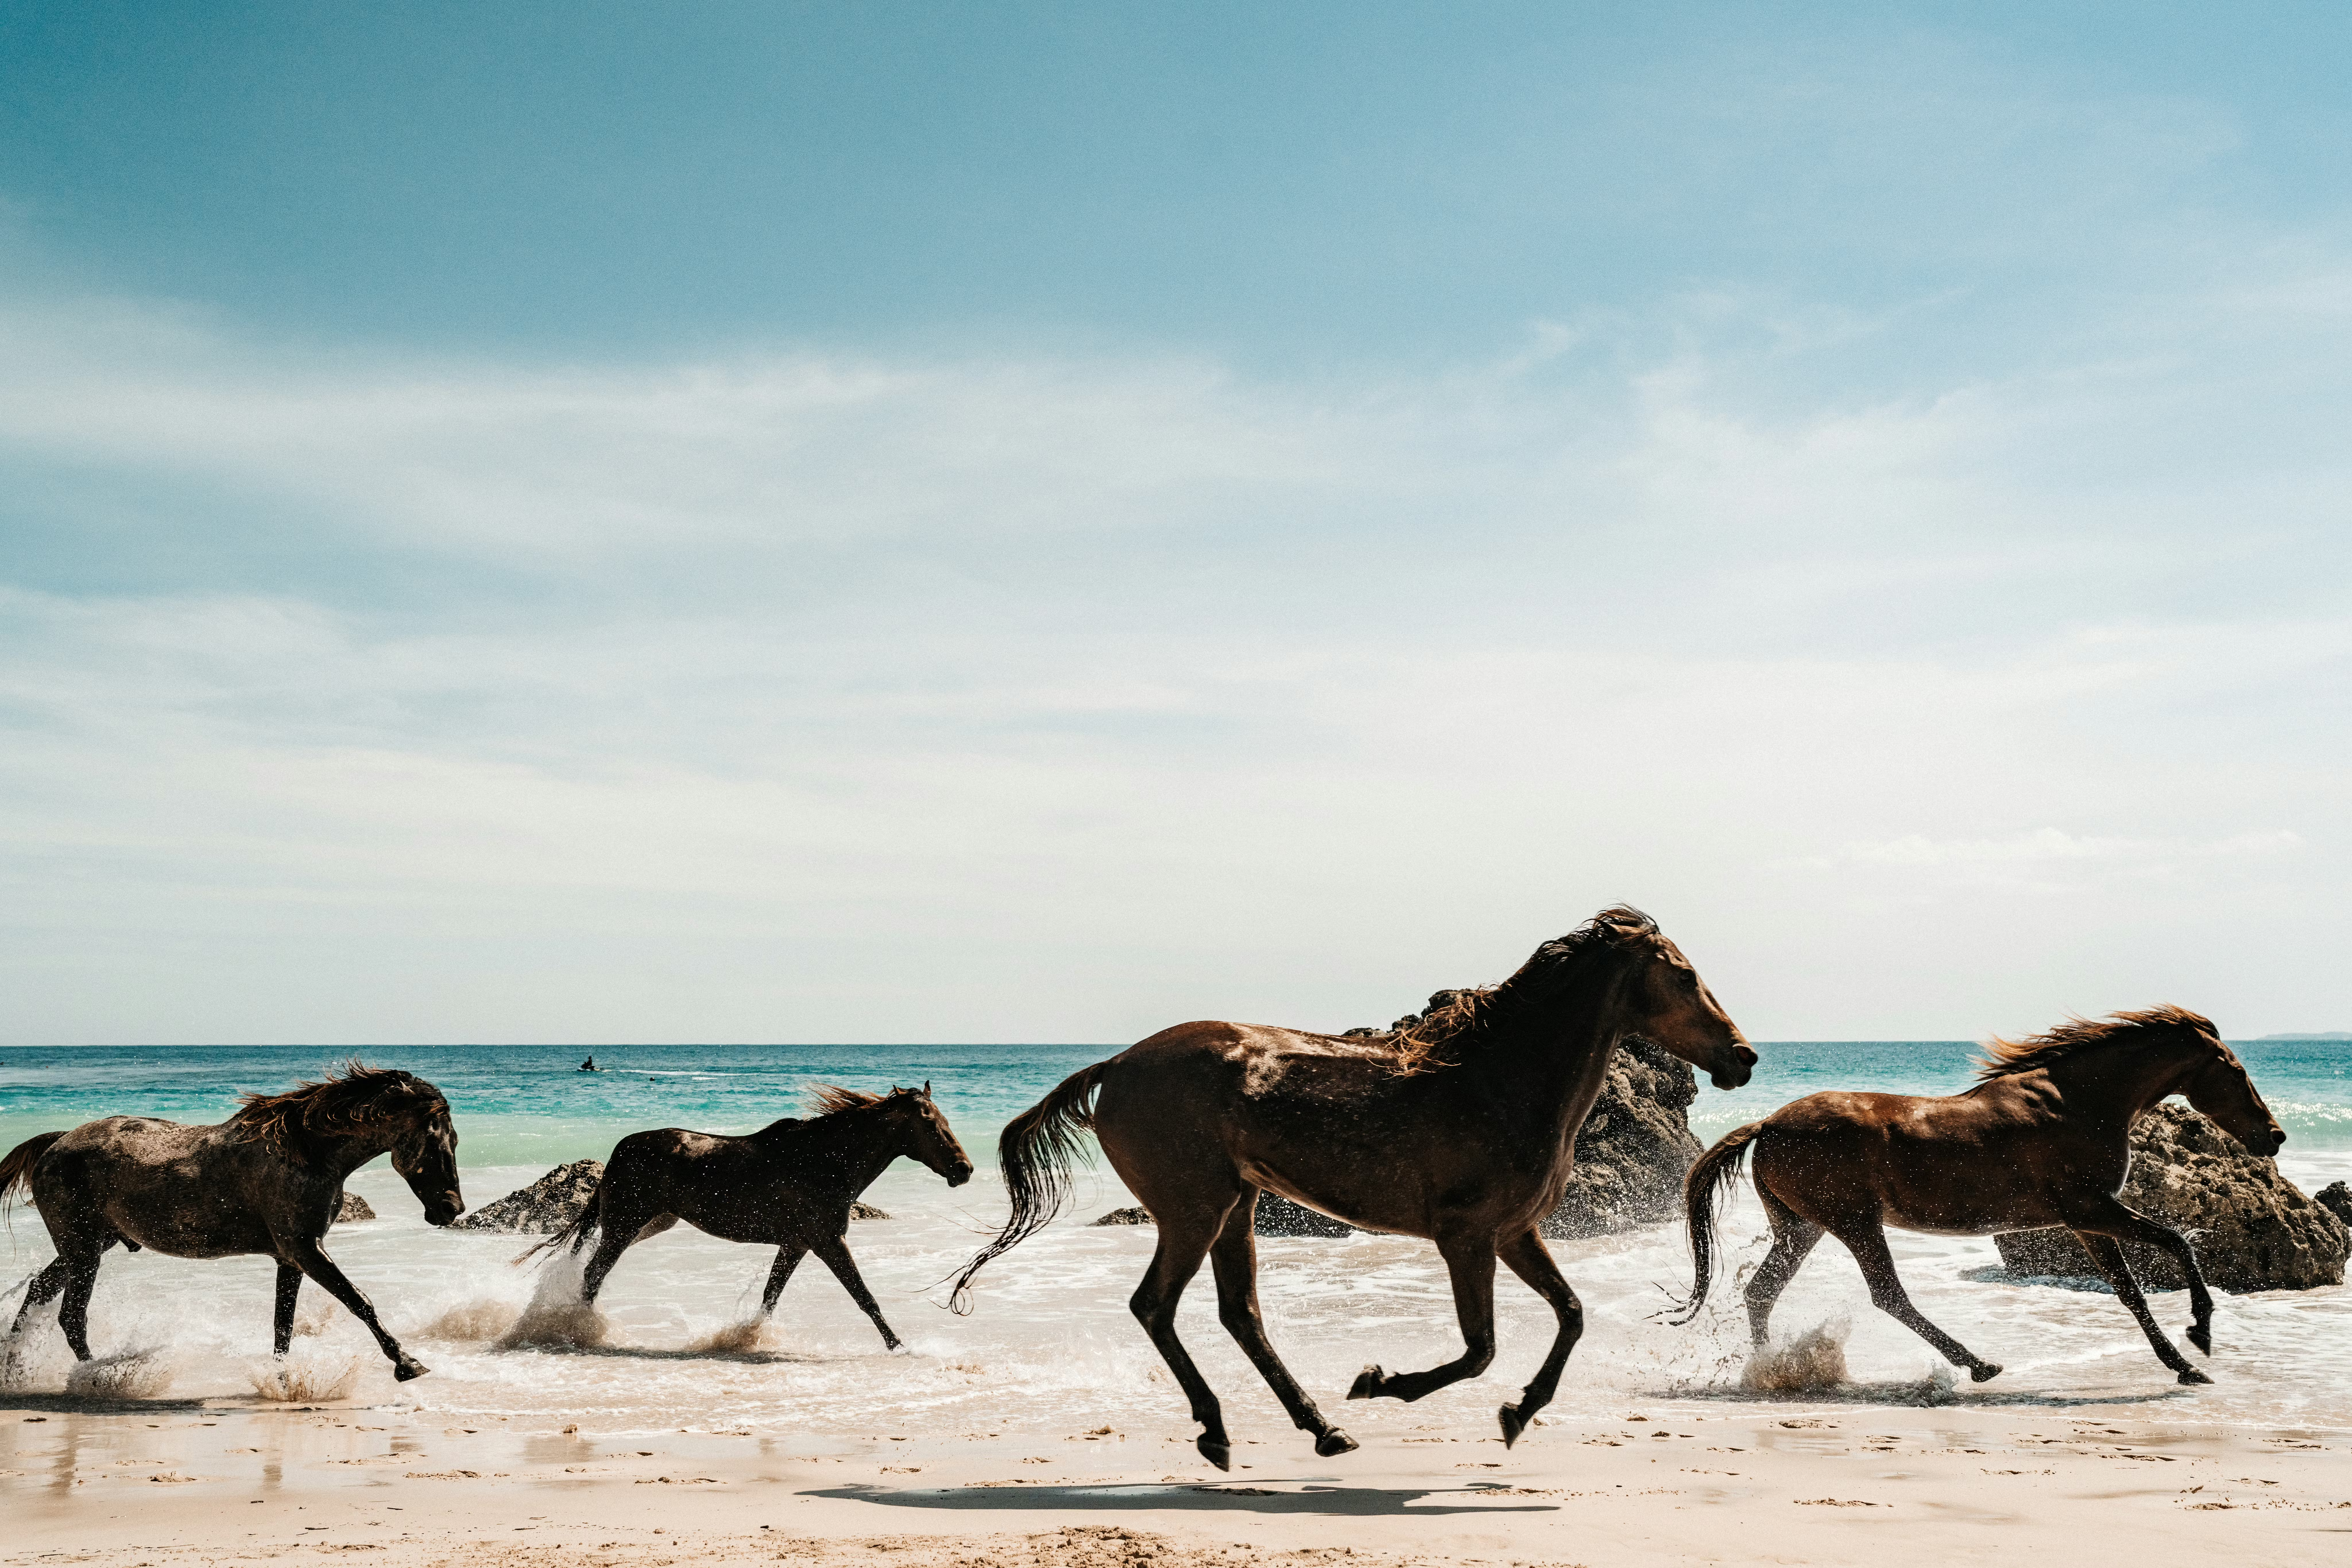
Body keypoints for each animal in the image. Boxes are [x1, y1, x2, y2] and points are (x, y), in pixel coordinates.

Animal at [0, 1062, 463, 1381]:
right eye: (438, 1138)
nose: (452, 1208)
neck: (307, 1153)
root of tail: (56, 1143)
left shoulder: (291, 1258)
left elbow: (283, 1327)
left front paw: (282, 1382)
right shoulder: (306, 1249)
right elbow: (359, 1300)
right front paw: (408, 1363)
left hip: (92, 1245)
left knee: (40, 1292)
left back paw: (15, 1370)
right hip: (83, 1251)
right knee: (71, 1317)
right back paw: (97, 1375)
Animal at [527, 1083, 973, 1350]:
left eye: (947, 1121)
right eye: (930, 1125)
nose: (964, 1170)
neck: (825, 1159)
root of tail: (620, 1150)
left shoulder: (796, 1244)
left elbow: (770, 1297)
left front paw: (748, 1339)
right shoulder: (828, 1241)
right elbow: (865, 1297)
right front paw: (901, 1347)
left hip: (649, 1224)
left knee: (593, 1271)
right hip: (625, 1226)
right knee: (593, 1274)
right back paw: (583, 1331)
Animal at [948, 906, 1755, 1469]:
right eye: (1684, 976)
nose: (1743, 1057)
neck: (1502, 1080)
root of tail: (1114, 1065)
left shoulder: (1516, 1234)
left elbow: (1572, 1315)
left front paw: (1518, 1414)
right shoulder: (1466, 1238)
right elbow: (1481, 1348)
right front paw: (1381, 1382)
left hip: (1236, 1208)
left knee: (1241, 1316)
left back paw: (1322, 1430)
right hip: (1193, 1210)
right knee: (1156, 1306)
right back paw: (1221, 1430)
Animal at [1674, 1005, 2283, 1386]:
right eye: (2235, 1071)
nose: (2274, 1135)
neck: (2078, 1101)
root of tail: (1768, 1123)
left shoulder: (2086, 1221)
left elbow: (2130, 1292)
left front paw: (2184, 1366)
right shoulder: (2090, 1207)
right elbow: (2177, 1242)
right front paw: (2201, 1332)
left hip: (1803, 1227)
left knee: (1762, 1292)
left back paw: (1768, 1370)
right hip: (1854, 1223)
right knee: (1887, 1296)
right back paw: (1979, 1364)